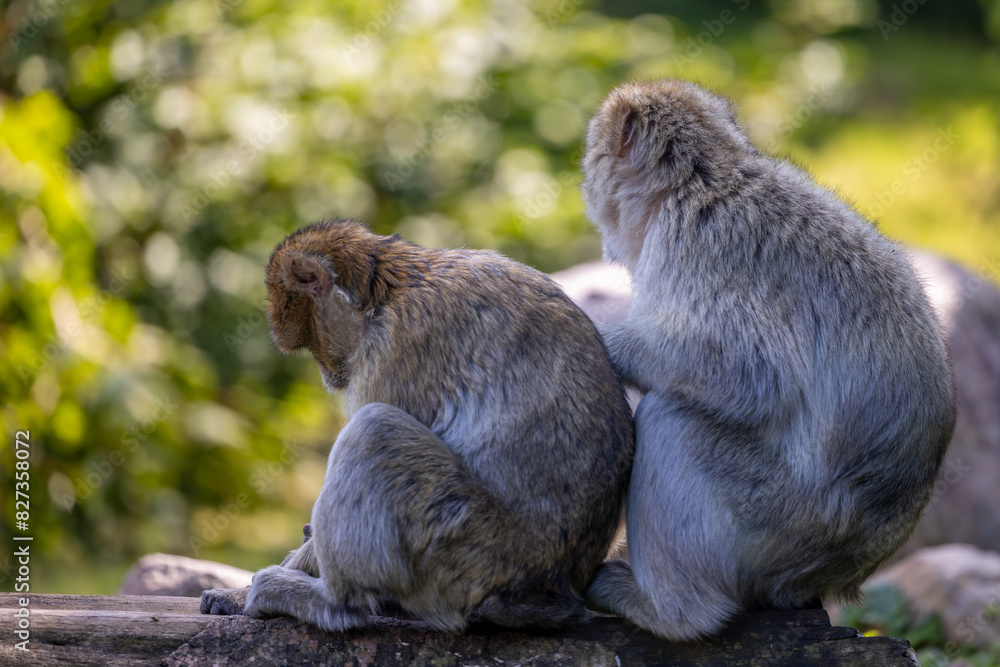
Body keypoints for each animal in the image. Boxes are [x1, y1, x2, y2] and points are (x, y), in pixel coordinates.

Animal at [201, 218, 634, 633]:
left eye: (310, 340)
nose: (326, 374)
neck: (386, 291)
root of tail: (549, 591)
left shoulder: (392, 350)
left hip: (464, 550)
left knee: (375, 430)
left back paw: (332, 604)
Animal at [579, 79, 957, 641]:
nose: (586, 180)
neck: (703, 178)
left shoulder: (694, 243)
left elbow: (755, 377)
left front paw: (603, 338)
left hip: (783, 520)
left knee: (674, 422)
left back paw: (671, 613)